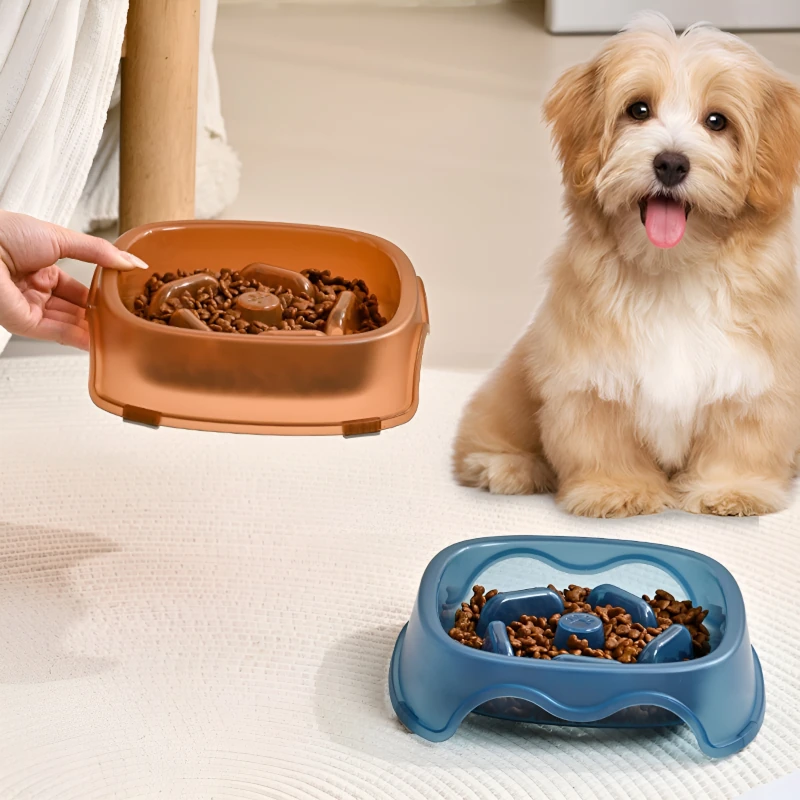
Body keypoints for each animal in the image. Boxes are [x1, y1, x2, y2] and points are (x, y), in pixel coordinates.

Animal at [454, 12, 800, 520]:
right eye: (638, 110)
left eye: (717, 122)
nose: (671, 163)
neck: (672, 268)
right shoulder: (589, 380)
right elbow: (603, 441)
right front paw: (616, 490)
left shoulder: (753, 377)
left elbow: (741, 441)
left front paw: (731, 491)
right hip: (508, 387)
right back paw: (509, 467)